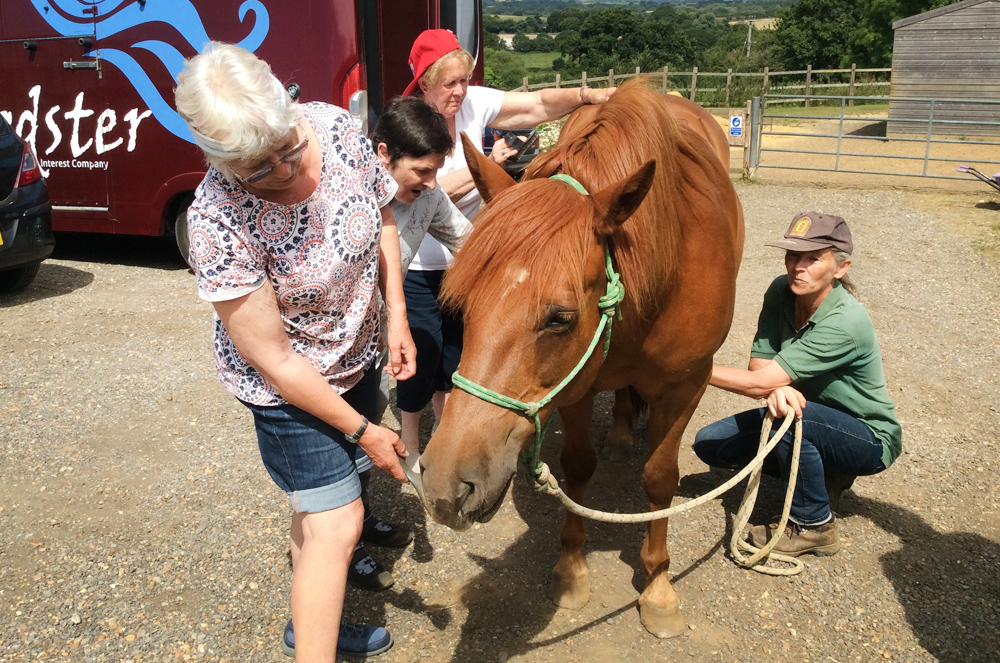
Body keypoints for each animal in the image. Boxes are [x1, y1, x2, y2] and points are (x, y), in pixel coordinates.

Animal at [416, 81, 745, 638]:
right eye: (462, 306)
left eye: (560, 318)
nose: (443, 487)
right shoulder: (574, 386)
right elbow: (577, 466)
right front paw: (571, 569)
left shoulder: (688, 384)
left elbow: (661, 477)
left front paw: (658, 587)